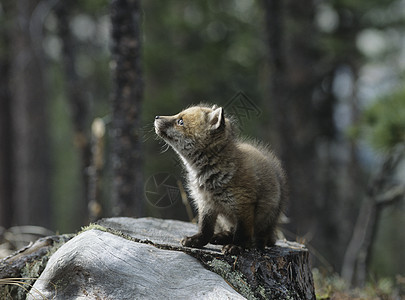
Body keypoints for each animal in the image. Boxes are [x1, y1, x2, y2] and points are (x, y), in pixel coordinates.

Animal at [155, 104, 288, 254]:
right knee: (230, 231)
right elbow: (205, 229)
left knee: (260, 238)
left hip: (266, 220)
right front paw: (197, 241)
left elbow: (242, 233)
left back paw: (253, 243)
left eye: (180, 121)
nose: (156, 117)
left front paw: (236, 246)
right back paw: (221, 236)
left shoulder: (243, 206)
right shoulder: (206, 204)